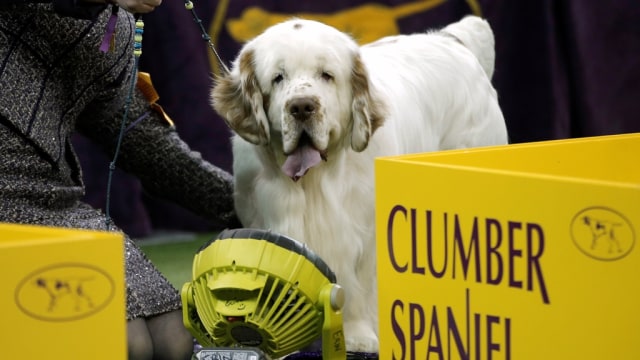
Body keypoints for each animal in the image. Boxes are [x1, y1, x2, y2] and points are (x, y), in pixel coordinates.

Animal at [212, 15, 508, 352]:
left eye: (327, 75)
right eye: (277, 78)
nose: (301, 107)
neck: (315, 180)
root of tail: (452, 39)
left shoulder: (366, 235)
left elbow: (359, 289)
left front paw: (358, 336)